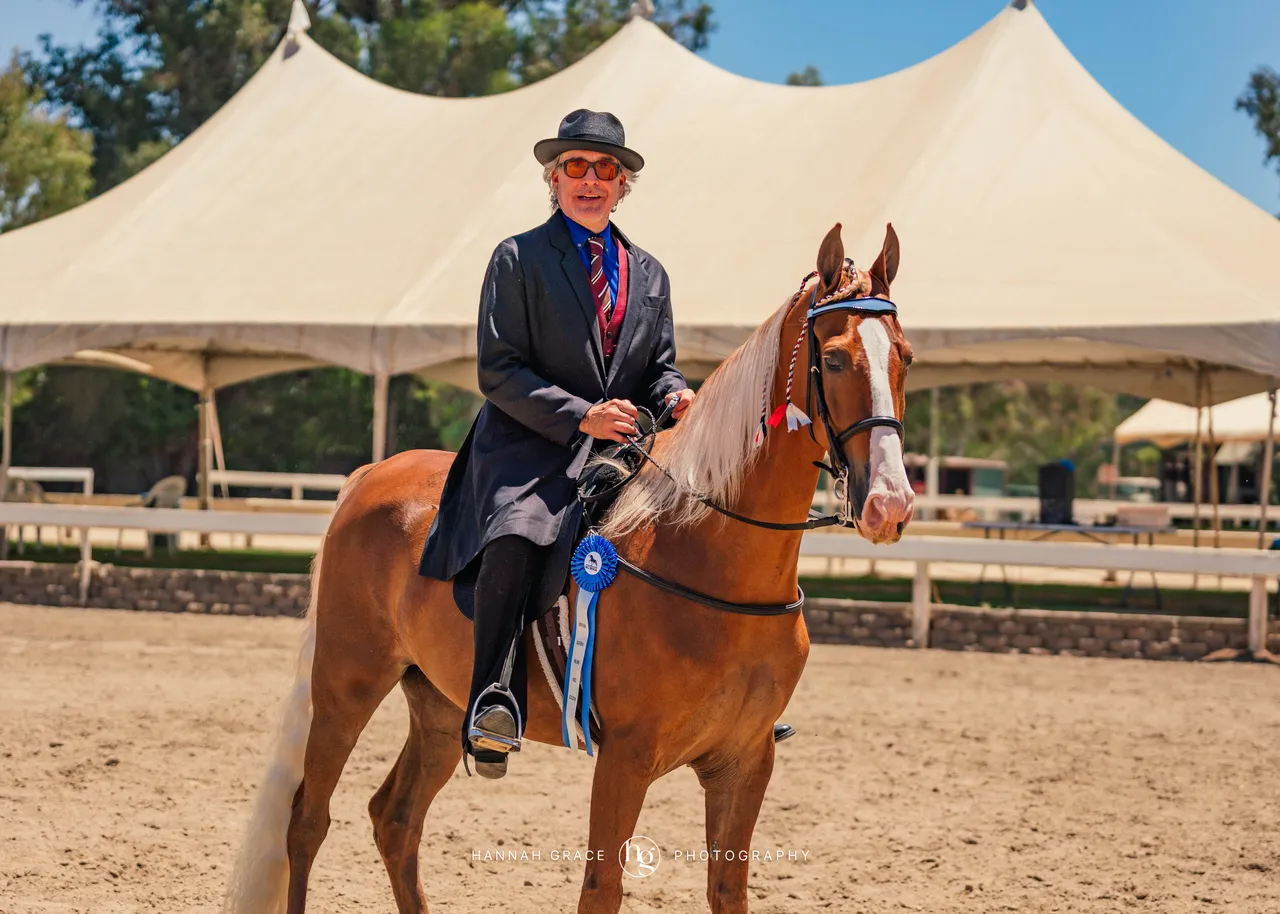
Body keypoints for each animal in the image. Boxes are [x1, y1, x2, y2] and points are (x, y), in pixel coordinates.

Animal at [221, 222, 916, 914]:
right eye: (833, 359)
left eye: (904, 358)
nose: (890, 504)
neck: (715, 563)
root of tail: (372, 474)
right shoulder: (626, 759)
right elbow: (600, 887)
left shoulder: (744, 761)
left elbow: (728, 888)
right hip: (348, 684)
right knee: (308, 820)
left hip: (441, 705)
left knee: (394, 817)